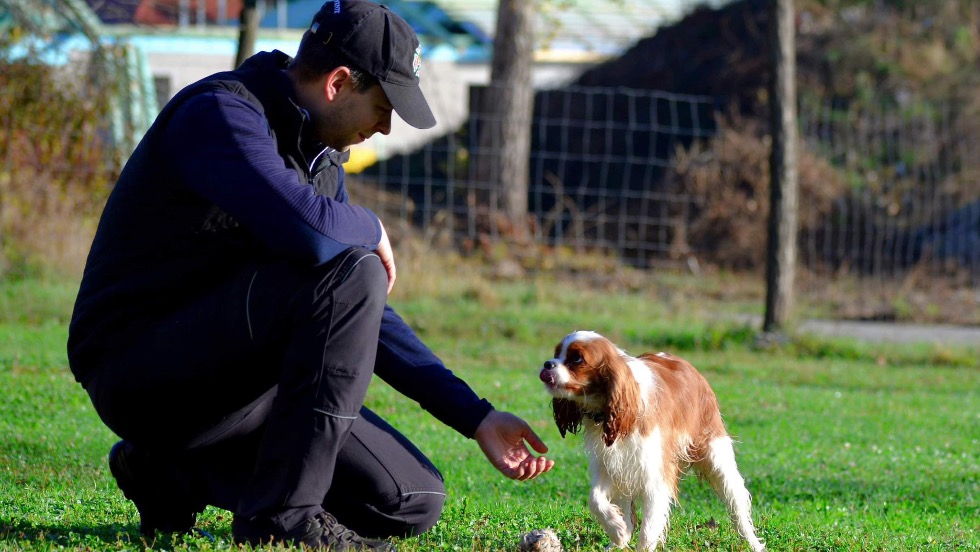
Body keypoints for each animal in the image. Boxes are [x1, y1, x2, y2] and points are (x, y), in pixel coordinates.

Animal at [540, 330, 760, 548]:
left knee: (737, 504)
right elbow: (595, 500)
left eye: (577, 358)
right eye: (556, 353)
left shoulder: (656, 477)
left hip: (718, 459)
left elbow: (648, 530)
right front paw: (616, 530)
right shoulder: (608, 465)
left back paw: (753, 543)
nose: (547, 364)